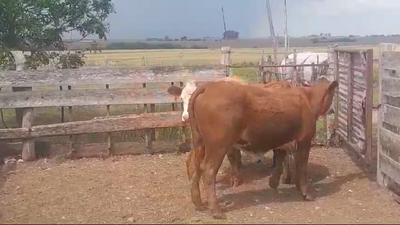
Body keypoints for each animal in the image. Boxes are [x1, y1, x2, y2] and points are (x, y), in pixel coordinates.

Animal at [186, 78, 336, 218]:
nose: (332, 110)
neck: (307, 97)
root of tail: (208, 86)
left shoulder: (283, 140)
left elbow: (280, 159)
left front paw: (274, 183)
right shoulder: (304, 139)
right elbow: (301, 166)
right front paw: (306, 193)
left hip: (199, 142)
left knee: (195, 166)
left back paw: (199, 204)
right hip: (218, 145)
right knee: (208, 170)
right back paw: (217, 211)